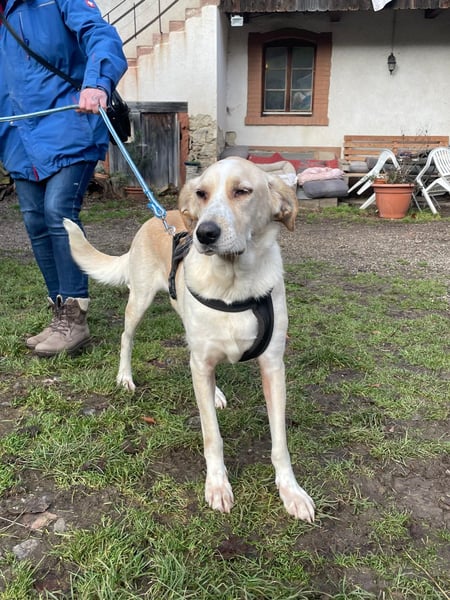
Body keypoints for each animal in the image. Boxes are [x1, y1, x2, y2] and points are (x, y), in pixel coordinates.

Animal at [64, 157, 315, 522]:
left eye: (242, 191)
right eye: (201, 193)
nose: (205, 233)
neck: (233, 285)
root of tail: (159, 216)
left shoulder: (272, 367)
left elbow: (279, 442)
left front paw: (291, 492)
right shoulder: (202, 362)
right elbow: (212, 436)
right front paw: (218, 485)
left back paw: (216, 392)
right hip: (139, 302)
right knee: (126, 337)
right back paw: (125, 377)